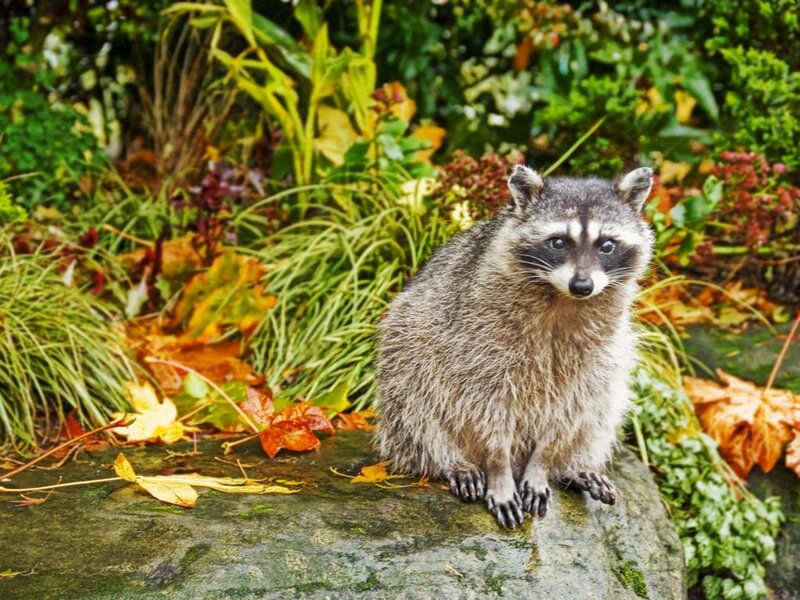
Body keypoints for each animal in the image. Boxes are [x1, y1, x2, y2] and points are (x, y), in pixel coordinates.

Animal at [375, 165, 654, 529]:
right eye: (558, 242)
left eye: (607, 245)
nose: (582, 285)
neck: (561, 297)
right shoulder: (478, 337)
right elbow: (484, 405)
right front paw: (499, 470)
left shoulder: (597, 347)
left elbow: (572, 406)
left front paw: (543, 464)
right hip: (408, 338)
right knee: (413, 399)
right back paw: (450, 460)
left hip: (612, 356)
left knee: (604, 403)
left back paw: (574, 465)